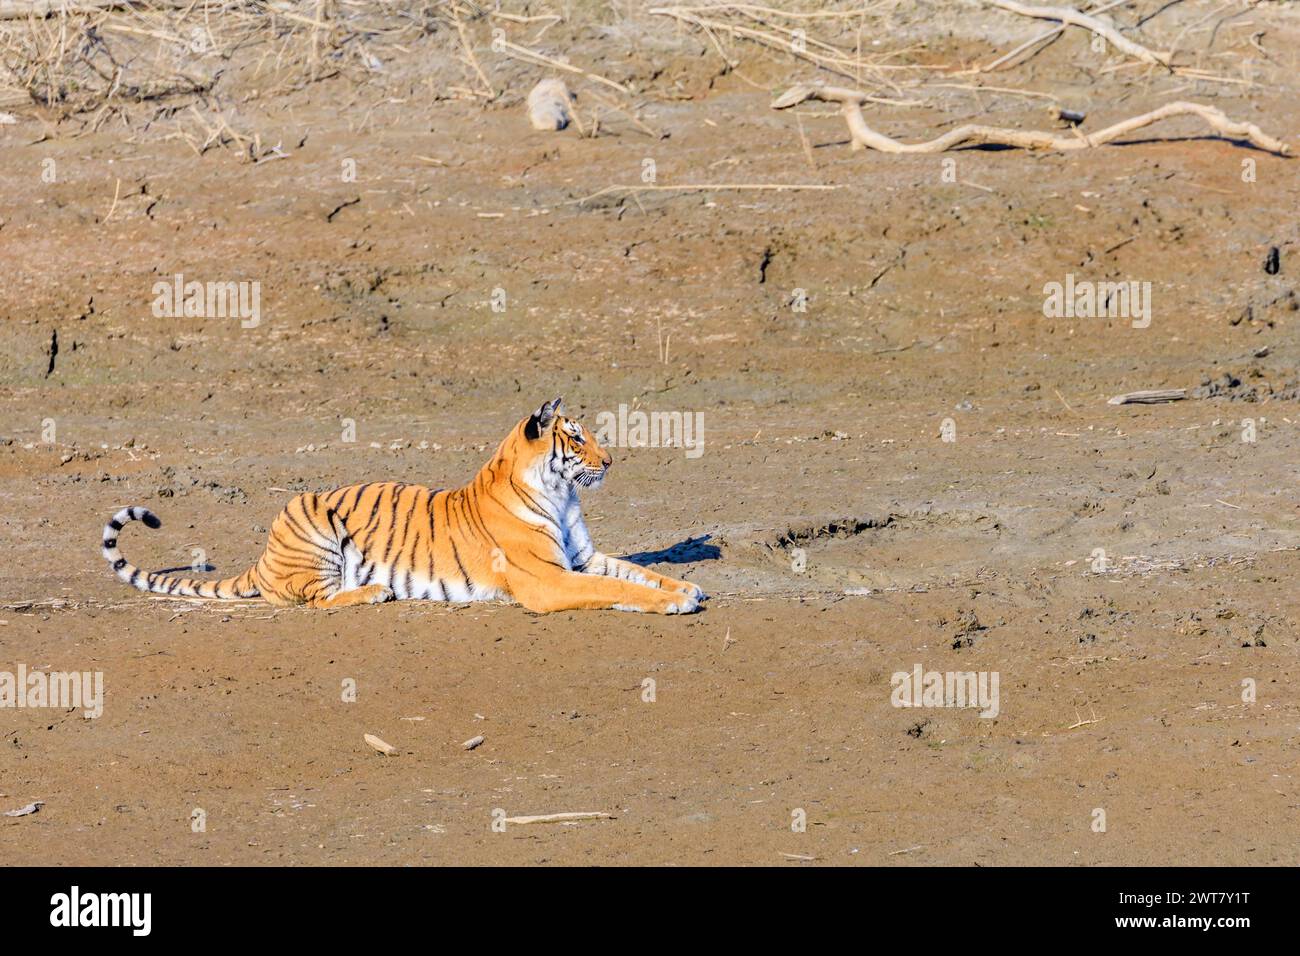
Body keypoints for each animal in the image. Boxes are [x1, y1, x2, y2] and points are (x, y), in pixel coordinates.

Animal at [101, 400, 707, 616]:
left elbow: (636, 572)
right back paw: (375, 591)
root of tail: (263, 556)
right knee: (313, 599)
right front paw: (676, 601)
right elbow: (617, 587)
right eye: (577, 438)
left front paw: (686, 587)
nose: (611, 460)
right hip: (312, 520)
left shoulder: (581, 559)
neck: (561, 496)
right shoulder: (549, 580)